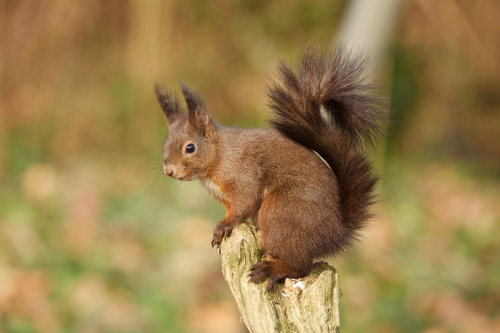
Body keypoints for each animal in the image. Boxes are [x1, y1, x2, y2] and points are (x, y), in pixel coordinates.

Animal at [154, 44, 384, 290]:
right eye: (165, 143)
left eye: (190, 148)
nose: (169, 171)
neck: (219, 157)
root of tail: (336, 232)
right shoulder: (223, 197)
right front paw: (219, 232)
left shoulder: (243, 173)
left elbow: (244, 203)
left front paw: (224, 225)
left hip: (281, 213)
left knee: (301, 265)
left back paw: (274, 269)